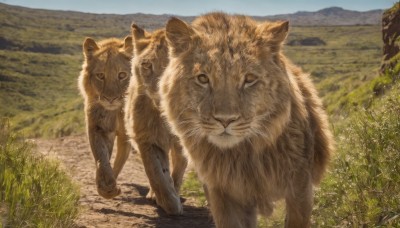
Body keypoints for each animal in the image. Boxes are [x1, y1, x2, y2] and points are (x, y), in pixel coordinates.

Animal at [78, 36, 134, 200]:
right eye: (100, 76)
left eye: (122, 75)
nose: (110, 99)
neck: (115, 111)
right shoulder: (98, 127)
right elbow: (101, 157)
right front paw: (106, 187)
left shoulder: (127, 136)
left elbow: (118, 161)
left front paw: (111, 186)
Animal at [123, 24, 188, 215]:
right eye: (147, 65)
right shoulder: (146, 138)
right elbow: (156, 173)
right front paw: (169, 202)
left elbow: (178, 169)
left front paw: (174, 195)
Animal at [159, 13, 334, 227]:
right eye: (203, 79)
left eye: (249, 79)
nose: (225, 120)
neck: (241, 156)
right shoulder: (221, 192)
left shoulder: (300, 187)